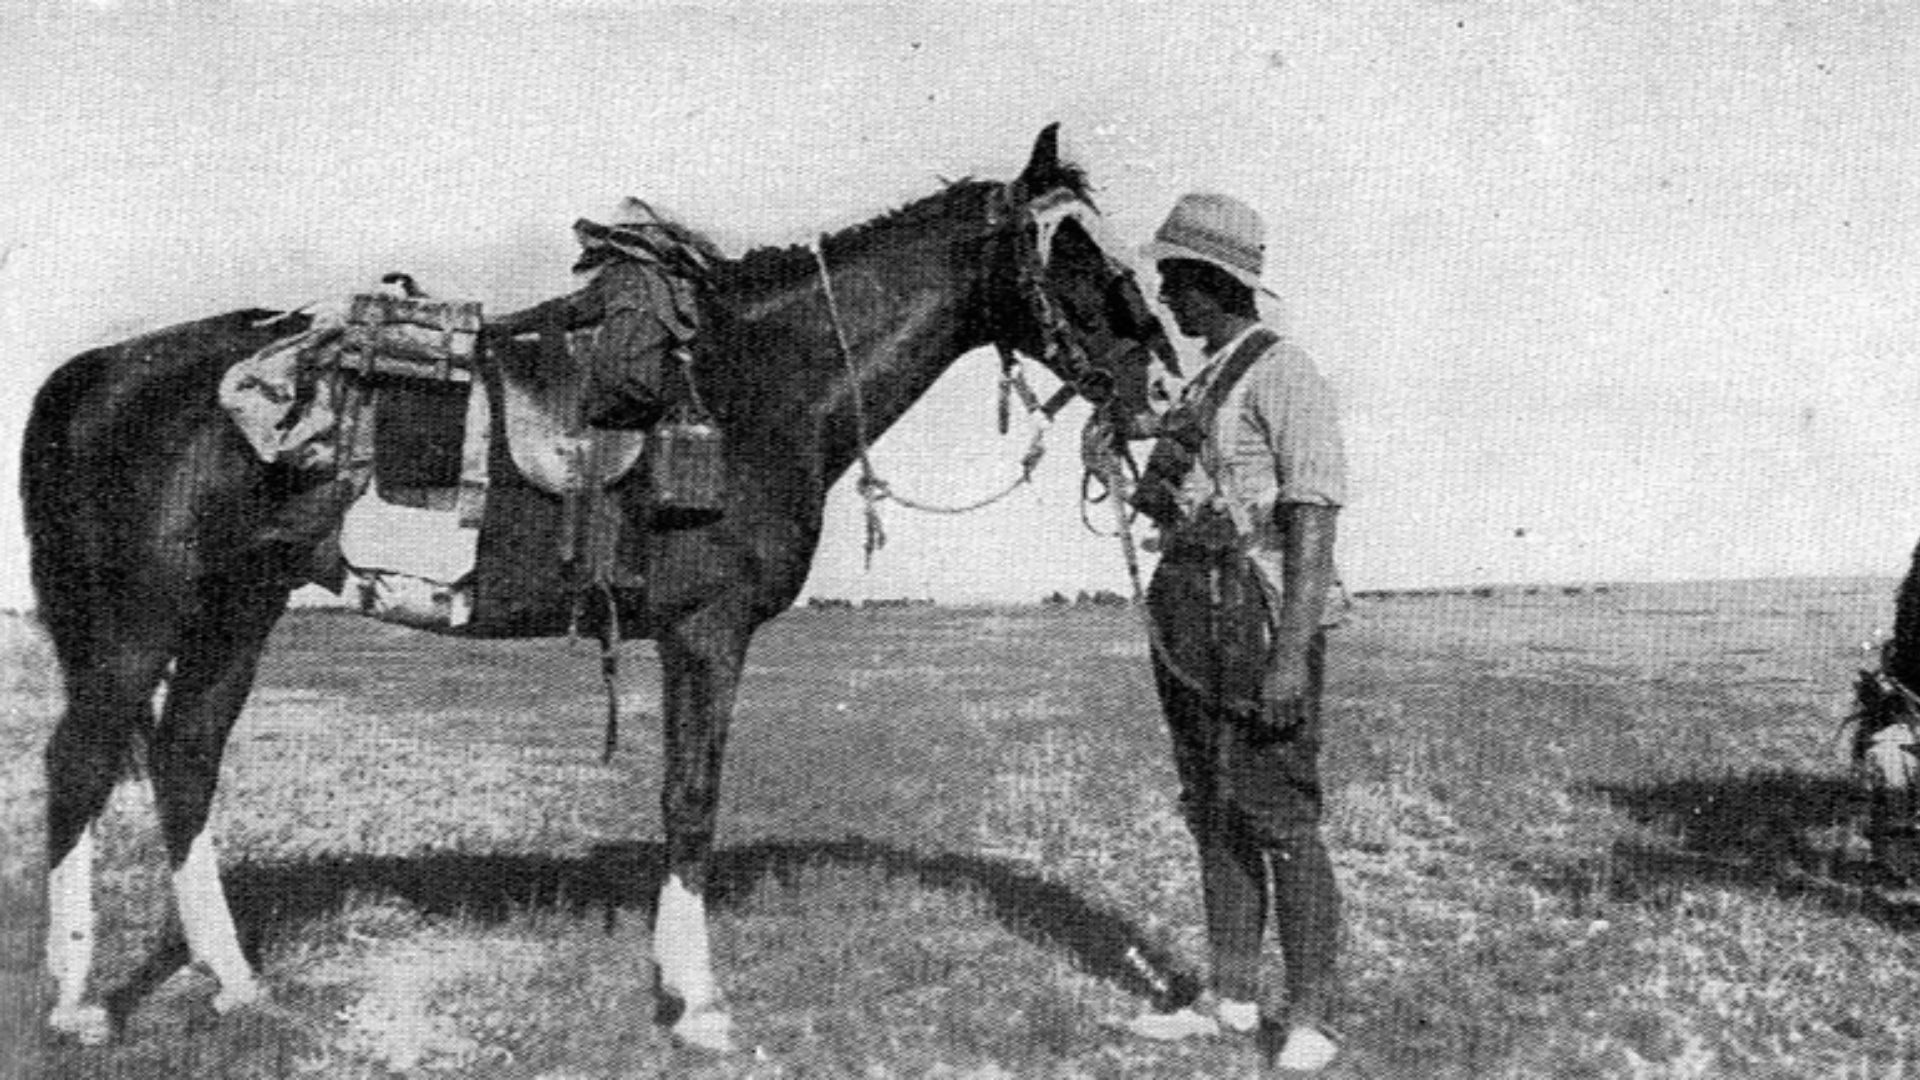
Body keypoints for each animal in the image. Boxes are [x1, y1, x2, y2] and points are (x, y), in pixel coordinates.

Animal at [22, 125, 1172, 1050]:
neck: (762, 379)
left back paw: (235, 983)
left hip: (238, 611)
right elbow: (691, 796)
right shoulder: (708, 630)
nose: (1157, 381)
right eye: (1072, 254)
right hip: (138, 622)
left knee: (185, 760)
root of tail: (96, 373)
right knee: (81, 766)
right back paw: (76, 1004)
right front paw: (698, 1005)